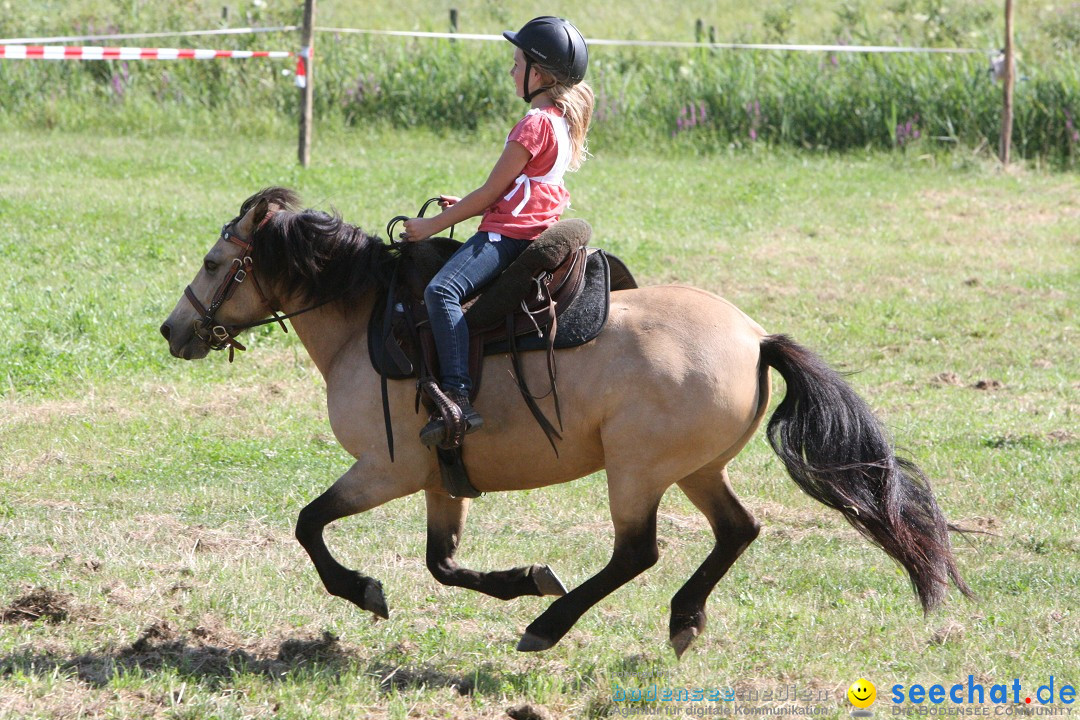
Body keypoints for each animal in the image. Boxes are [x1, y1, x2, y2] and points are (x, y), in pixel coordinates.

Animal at [157, 187, 972, 660]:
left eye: (213, 262)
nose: (172, 331)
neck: (368, 320)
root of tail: (754, 337)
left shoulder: (384, 471)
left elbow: (309, 524)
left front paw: (363, 590)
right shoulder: (438, 478)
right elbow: (443, 563)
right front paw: (525, 578)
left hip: (636, 471)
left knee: (637, 553)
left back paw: (551, 628)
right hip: (696, 469)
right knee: (736, 531)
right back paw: (680, 619)